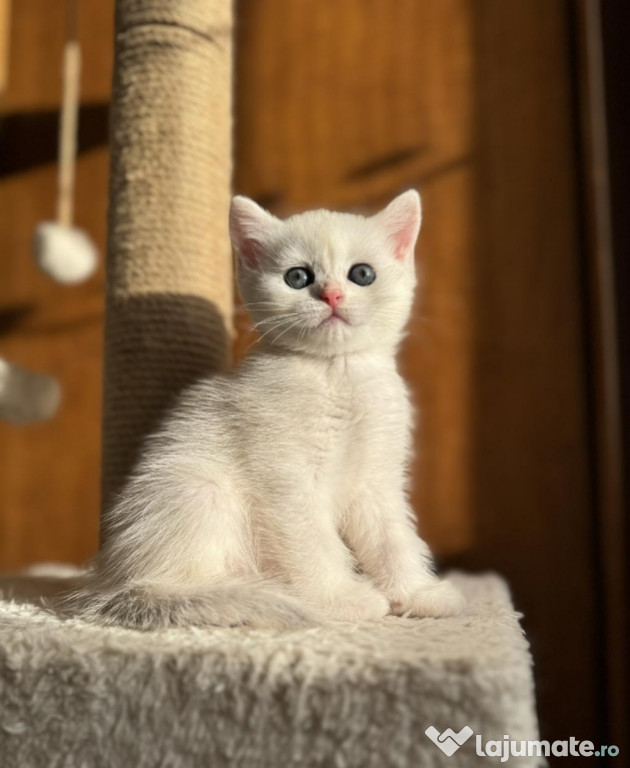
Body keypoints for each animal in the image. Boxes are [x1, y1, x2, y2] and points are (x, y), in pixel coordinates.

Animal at [75, 192, 470, 632]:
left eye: (362, 274)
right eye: (297, 277)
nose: (331, 295)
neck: (337, 374)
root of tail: (118, 582)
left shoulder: (377, 479)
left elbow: (392, 537)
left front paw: (417, 593)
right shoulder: (283, 479)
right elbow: (311, 542)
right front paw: (339, 600)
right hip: (200, 489)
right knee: (176, 584)